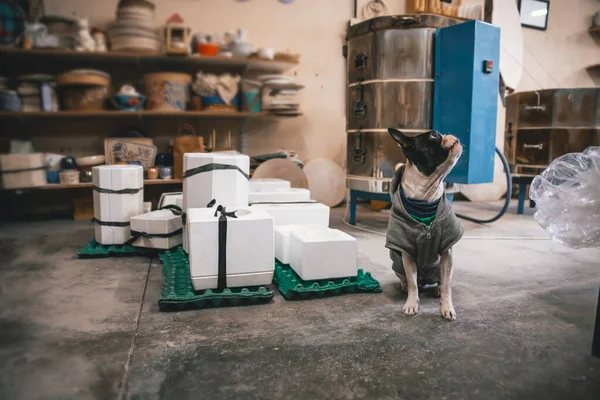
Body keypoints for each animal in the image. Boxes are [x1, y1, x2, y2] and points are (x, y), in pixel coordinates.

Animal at [384, 129, 464, 322]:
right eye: (434, 135)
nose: (451, 135)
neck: (424, 198)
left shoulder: (447, 251)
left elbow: (447, 284)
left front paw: (447, 307)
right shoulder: (406, 252)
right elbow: (413, 283)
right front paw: (411, 303)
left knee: (441, 280)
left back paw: (436, 289)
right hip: (397, 263)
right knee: (409, 279)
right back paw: (404, 285)